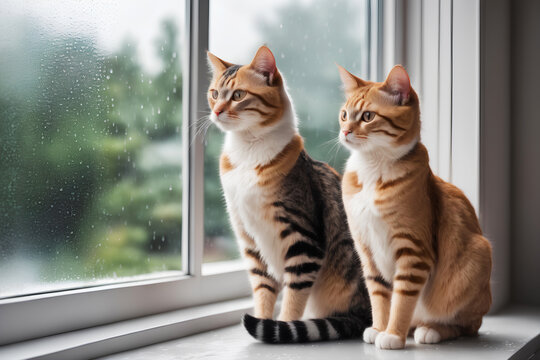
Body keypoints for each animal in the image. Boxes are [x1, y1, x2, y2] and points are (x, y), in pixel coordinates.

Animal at [207, 47, 372, 344]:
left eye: (238, 95)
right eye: (214, 93)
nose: (215, 111)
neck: (247, 152)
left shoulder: (303, 239)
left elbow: (294, 295)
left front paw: (282, 328)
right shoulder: (248, 236)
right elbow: (262, 288)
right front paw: (263, 322)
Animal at [338, 64, 494, 348]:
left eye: (367, 116)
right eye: (344, 115)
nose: (345, 131)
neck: (372, 168)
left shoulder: (413, 250)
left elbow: (401, 300)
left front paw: (392, 335)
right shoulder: (367, 250)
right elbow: (380, 297)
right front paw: (379, 328)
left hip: (478, 255)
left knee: (469, 325)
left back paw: (431, 330)